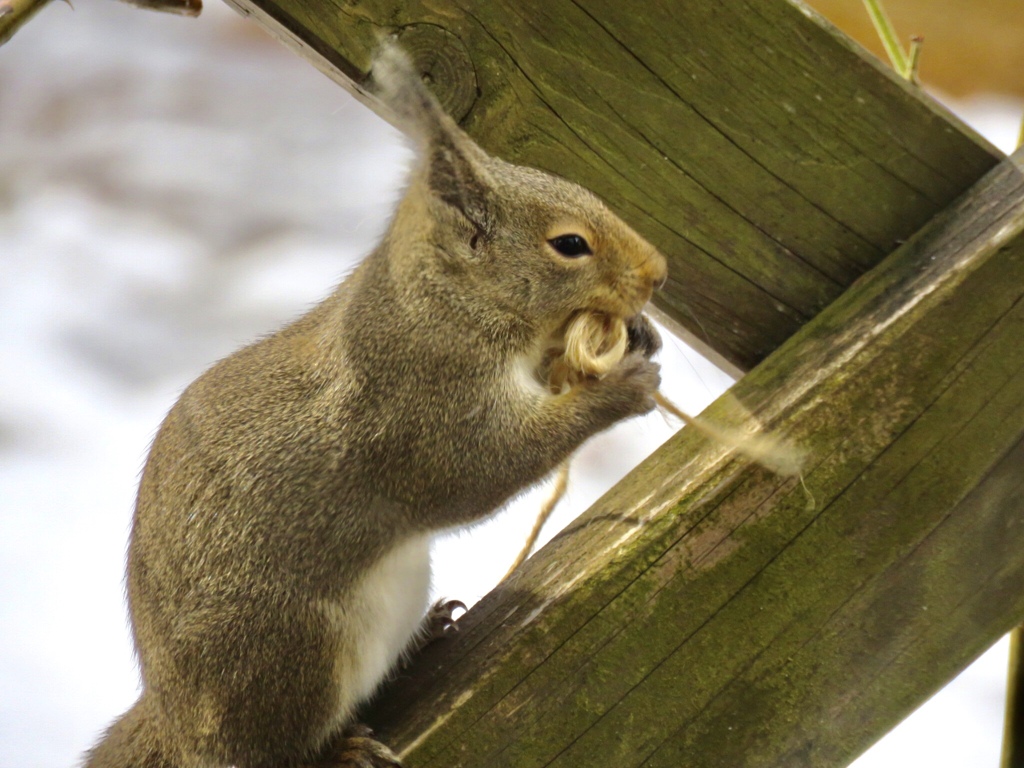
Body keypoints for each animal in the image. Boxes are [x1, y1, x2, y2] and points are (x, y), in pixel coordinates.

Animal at [83, 43, 667, 768]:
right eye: (569, 244)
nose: (658, 274)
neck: (446, 299)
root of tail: (174, 723)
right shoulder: (420, 403)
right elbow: (478, 472)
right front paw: (620, 389)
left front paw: (641, 333)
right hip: (291, 655)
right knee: (274, 748)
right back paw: (340, 749)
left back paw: (426, 634)